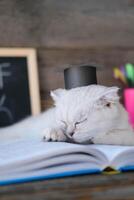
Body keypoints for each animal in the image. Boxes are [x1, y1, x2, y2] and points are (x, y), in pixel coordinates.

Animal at [0, 84, 134, 145]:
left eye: (80, 122)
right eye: (63, 121)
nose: (70, 133)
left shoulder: (127, 131)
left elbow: (121, 135)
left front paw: (101, 137)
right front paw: (54, 133)